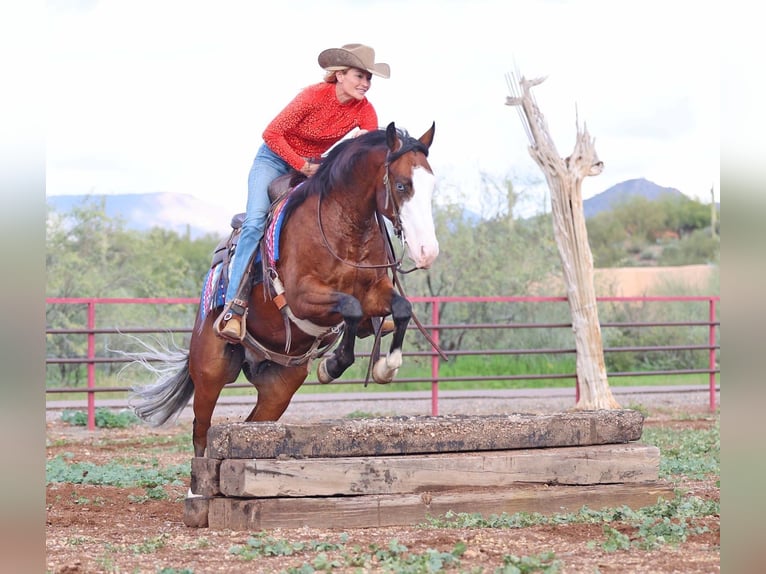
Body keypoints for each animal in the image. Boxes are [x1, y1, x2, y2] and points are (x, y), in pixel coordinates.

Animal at [132, 122, 439, 457]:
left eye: (431, 187)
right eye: (401, 186)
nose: (427, 251)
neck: (343, 227)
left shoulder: (373, 292)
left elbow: (401, 308)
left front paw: (385, 367)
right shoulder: (302, 297)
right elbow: (350, 307)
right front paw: (331, 366)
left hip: (279, 387)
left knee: (253, 423)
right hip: (210, 372)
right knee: (201, 430)